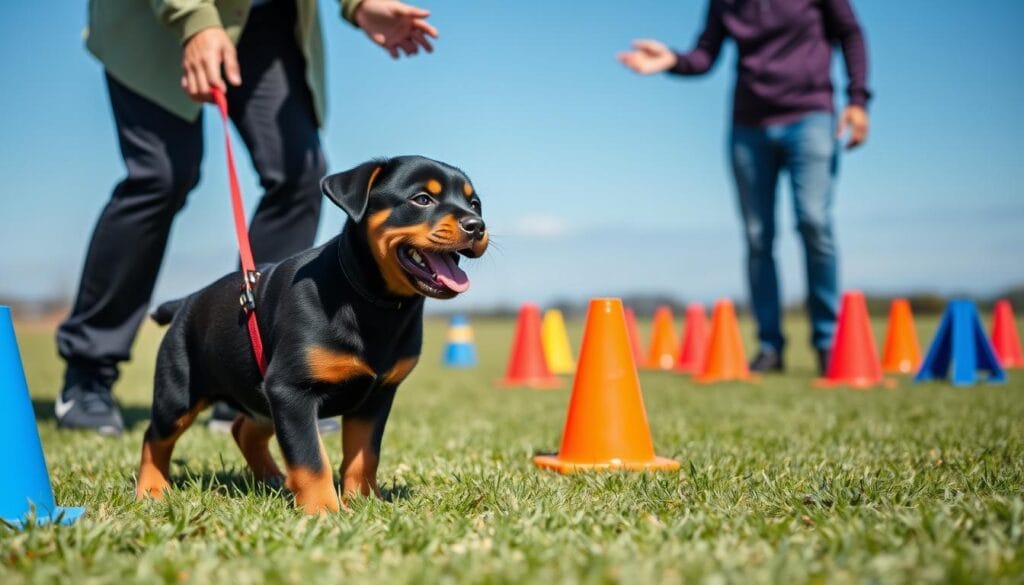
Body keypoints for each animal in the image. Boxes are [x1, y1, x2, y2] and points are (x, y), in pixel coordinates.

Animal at [136, 154, 487, 512]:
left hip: (260, 394)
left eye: (475, 204)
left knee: (244, 428)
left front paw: (363, 501)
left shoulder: (376, 397)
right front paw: (324, 511)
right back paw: (152, 489)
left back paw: (273, 478)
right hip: (180, 391)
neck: (372, 299)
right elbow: (310, 459)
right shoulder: (291, 391)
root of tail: (186, 302)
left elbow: (364, 455)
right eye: (422, 199)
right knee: (155, 437)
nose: (477, 225)